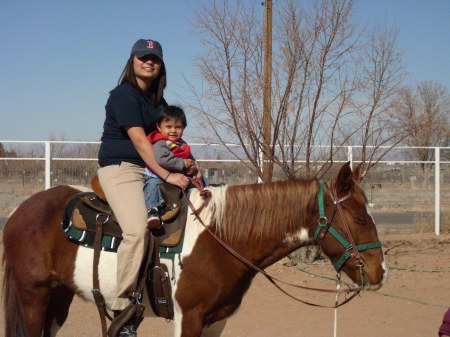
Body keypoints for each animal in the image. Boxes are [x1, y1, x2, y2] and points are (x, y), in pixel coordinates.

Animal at [0, 161, 386, 334]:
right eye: (360, 218)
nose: (380, 272)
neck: (221, 239)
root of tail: (20, 210)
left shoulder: (218, 319)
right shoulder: (190, 316)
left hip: (58, 297)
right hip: (34, 296)